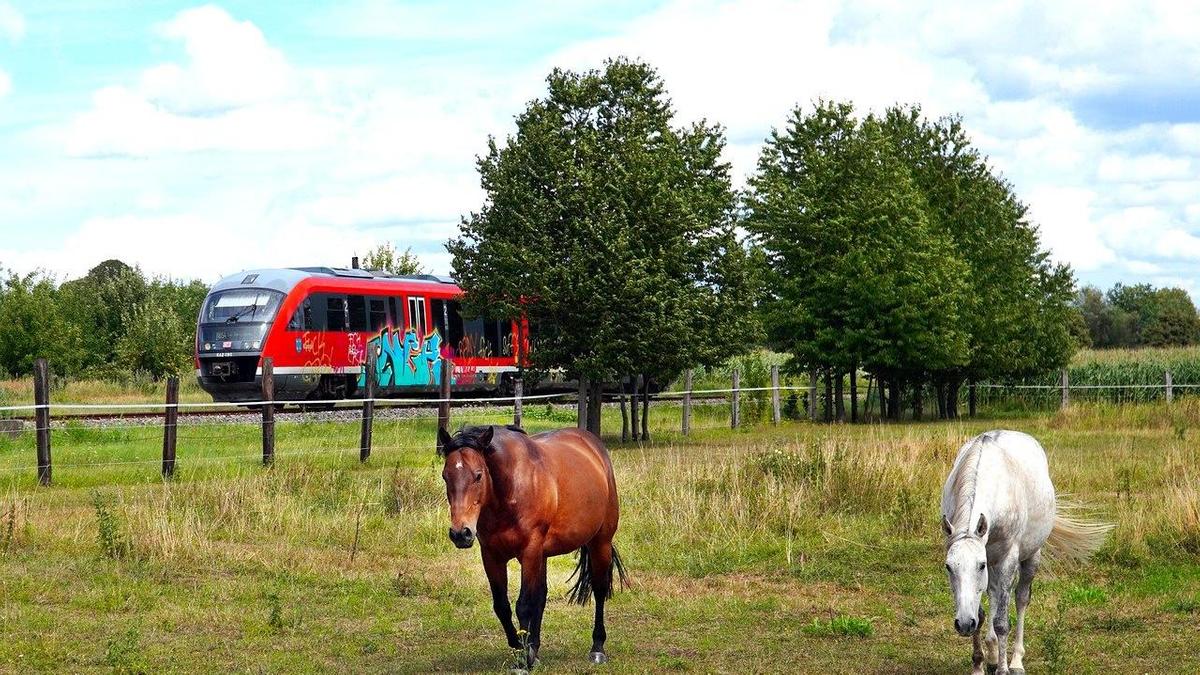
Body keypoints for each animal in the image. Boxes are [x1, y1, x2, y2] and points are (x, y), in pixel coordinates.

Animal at [441, 422, 628, 662]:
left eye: (478, 475)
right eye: (445, 476)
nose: (460, 533)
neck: (510, 491)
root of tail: (594, 447)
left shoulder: (529, 551)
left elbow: (524, 604)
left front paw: (523, 657)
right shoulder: (492, 556)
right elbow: (503, 605)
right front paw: (521, 646)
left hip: (600, 542)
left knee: (599, 589)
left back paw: (597, 648)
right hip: (544, 555)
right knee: (541, 594)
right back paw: (535, 648)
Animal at [940, 427, 1108, 667]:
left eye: (980, 565)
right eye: (948, 567)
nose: (963, 624)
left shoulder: (1006, 559)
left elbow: (1002, 622)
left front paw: (1003, 668)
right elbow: (980, 615)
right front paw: (979, 665)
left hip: (1030, 557)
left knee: (1020, 598)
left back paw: (1016, 661)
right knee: (994, 593)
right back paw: (992, 654)